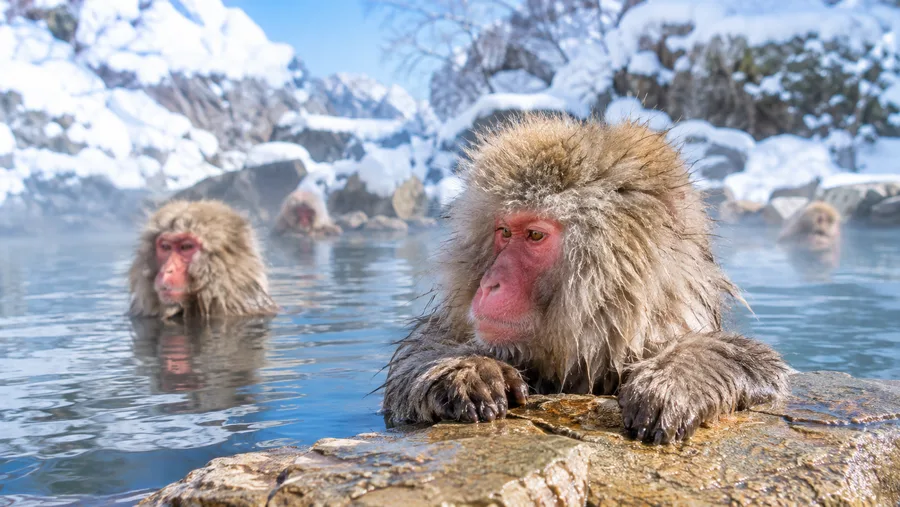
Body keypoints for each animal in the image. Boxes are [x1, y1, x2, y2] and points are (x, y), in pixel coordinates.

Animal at [381, 115, 791, 445]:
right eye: (504, 232)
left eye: (534, 235)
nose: (488, 283)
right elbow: (415, 357)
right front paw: (466, 370)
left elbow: (759, 364)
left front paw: (680, 376)